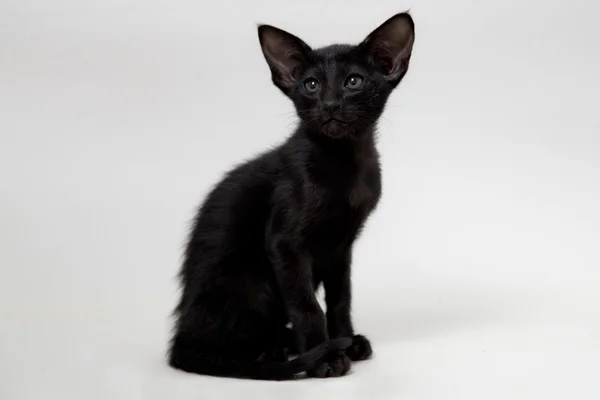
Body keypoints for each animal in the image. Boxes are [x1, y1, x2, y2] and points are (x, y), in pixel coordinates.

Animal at [166, 13, 414, 382]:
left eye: (353, 81)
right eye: (311, 85)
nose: (330, 104)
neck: (344, 160)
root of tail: (178, 340)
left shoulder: (341, 247)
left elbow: (340, 299)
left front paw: (345, 340)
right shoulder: (285, 243)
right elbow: (305, 304)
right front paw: (326, 356)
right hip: (254, 281)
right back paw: (275, 351)